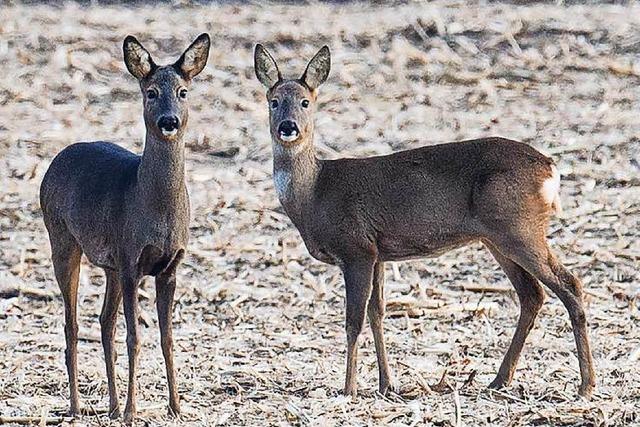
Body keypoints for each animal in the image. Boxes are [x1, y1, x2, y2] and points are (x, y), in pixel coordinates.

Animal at [40, 34, 210, 424]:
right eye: (150, 91)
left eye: (182, 91)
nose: (169, 121)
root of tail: (56, 159)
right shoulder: (132, 260)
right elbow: (135, 338)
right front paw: (134, 411)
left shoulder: (169, 266)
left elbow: (166, 337)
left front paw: (176, 406)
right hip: (63, 240)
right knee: (72, 324)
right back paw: (77, 406)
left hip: (110, 266)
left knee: (105, 323)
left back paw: (113, 406)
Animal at [254, 45, 596, 400]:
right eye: (274, 100)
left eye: (305, 102)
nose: (288, 127)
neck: (315, 192)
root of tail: (551, 169)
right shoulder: (378, 252)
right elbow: (378, 314)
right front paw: (387, 385)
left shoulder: (356, 248)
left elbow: (353, 321)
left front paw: (348, 389)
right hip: (498, 237)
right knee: (532, 294)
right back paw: (499, 380)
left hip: (519, 229)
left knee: (569, 284)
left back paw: (585, 385)